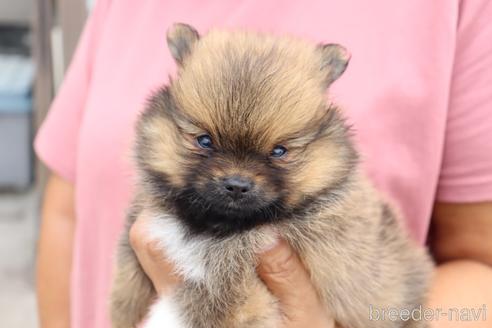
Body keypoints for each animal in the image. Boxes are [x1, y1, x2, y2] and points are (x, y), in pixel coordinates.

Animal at [110, 23, 430, 328]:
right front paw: (121, 311)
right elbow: (127, 264)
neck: (215, 224)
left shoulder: (240, 259)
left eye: (279, 151)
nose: (237, 185)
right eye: (204, 141)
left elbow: (211, 297)